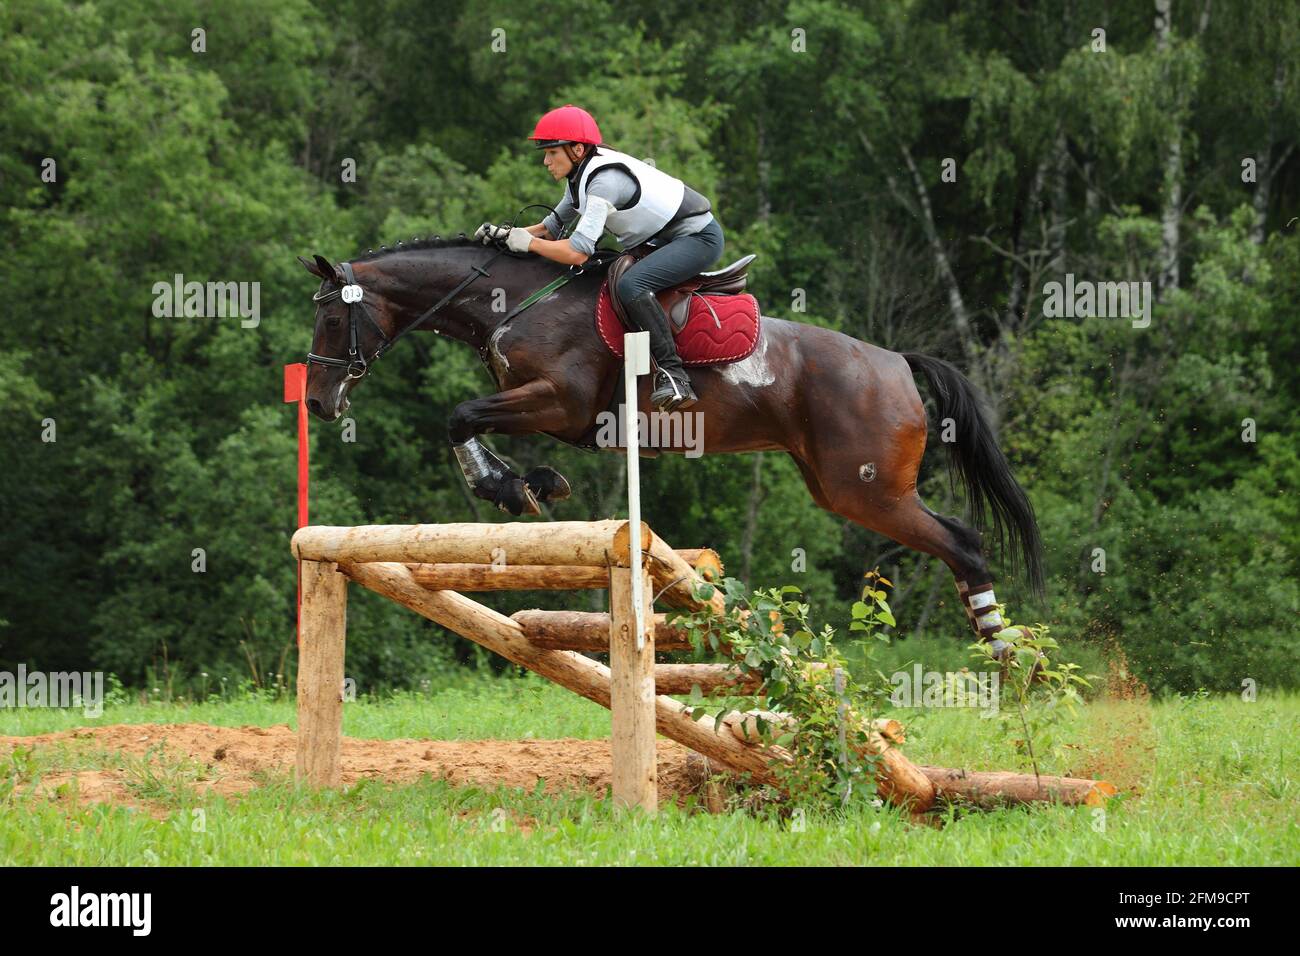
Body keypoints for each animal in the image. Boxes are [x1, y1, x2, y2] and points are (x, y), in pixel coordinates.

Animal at [299, 235, 1040, 647]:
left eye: (332, 319)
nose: (317, 402)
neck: (516, 299)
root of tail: (896, 363)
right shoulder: (545, 408)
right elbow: (468, 423)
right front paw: (529, 483)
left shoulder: (559, 402)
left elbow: (459, 416)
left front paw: (505, 485)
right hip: (843, 487)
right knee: (957, 540)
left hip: (868, 490)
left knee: (962, 542)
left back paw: (1004, 661)